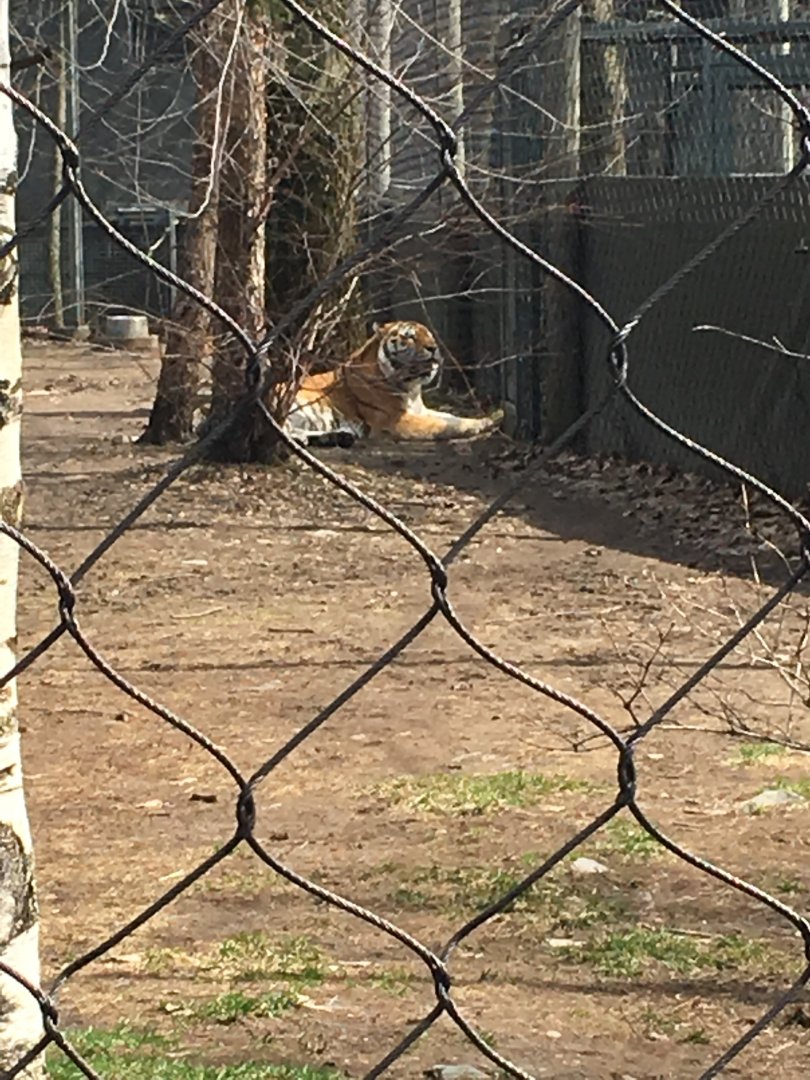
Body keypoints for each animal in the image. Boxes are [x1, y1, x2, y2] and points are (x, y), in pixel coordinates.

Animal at [282, 320, 502, 447]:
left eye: (429, 335)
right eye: (410, 336)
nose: (433, 348)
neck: (411, 389)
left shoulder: (421, 410)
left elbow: (450, 417)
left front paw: (487, 418)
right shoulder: (396, 420)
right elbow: (442, 426)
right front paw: (488, 422)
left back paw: (338, 437)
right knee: (285, 430)